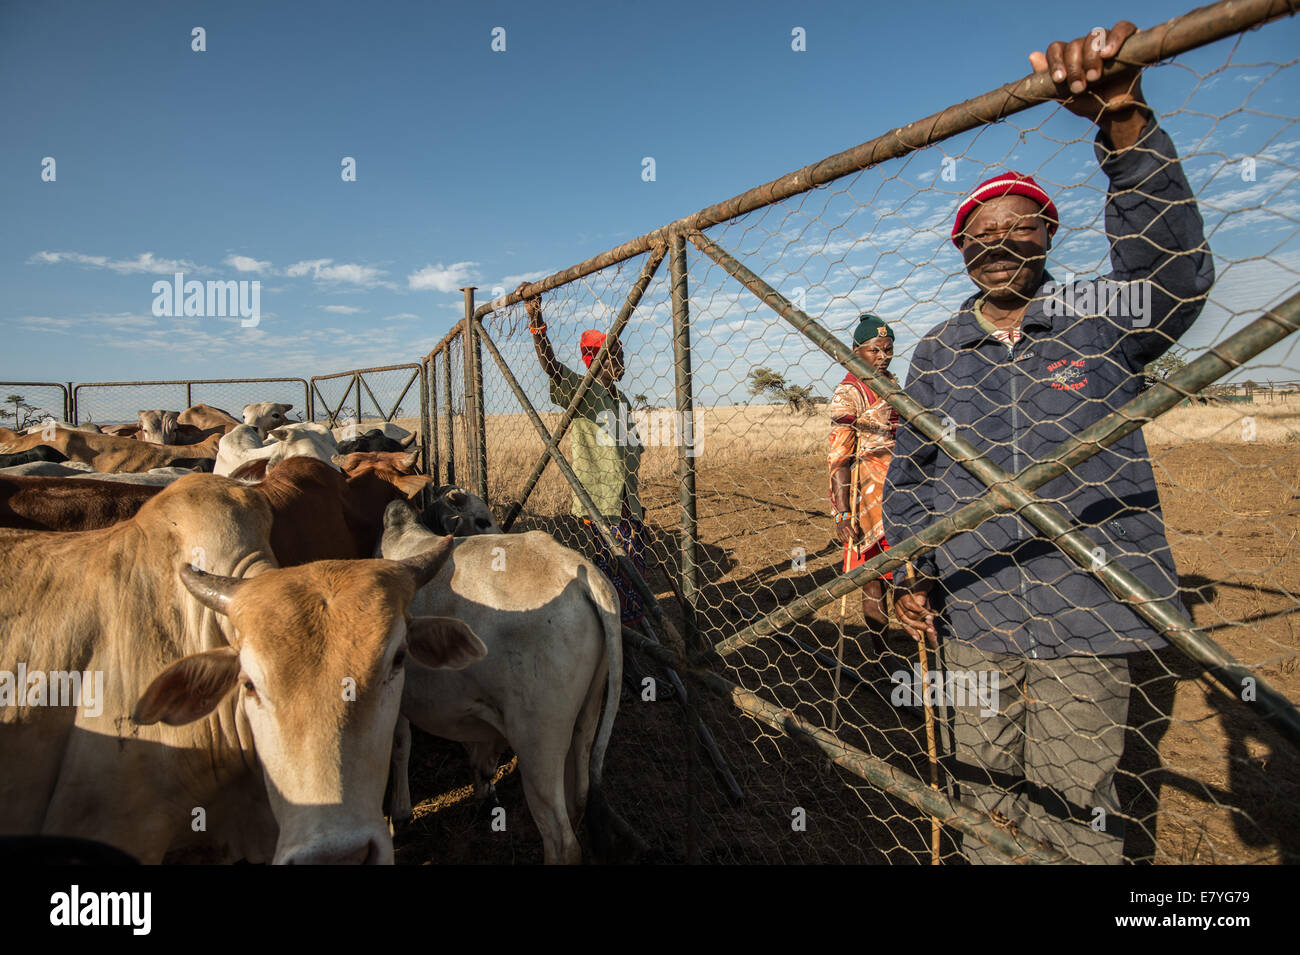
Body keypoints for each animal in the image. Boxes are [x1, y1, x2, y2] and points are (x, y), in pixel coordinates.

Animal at [379, 504, 621, 862]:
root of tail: (583, 574)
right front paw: (483, 788)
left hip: (537, 742)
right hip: (586, 716)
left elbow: (400, 744)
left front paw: (400, 814)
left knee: (562, 842)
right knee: (578, 797)